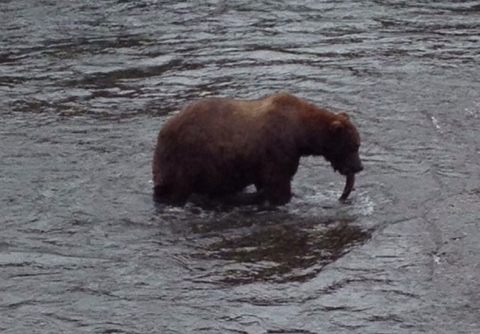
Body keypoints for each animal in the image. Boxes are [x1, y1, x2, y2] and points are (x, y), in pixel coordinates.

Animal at [152, 92, 362, 206]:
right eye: (354, 146)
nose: (359, 167)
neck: (301, 132)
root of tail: (164, 129)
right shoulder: (279, 149)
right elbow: (278, 182)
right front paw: (288, 197)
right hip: (185, 160)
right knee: (175, 188)